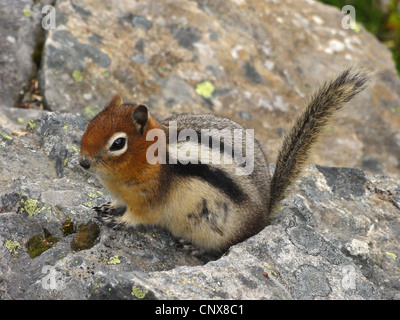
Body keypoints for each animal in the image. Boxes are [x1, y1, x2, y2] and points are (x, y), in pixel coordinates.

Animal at [79, 67, 370, 252]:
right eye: (91, 122)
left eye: (118, 143)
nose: (82, 162)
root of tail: (264, 218)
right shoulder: (123, 193)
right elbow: (118, 202)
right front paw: (107, 207)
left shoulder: (149, 198)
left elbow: (139, 216)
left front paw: (120, 221)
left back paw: (192, 246)